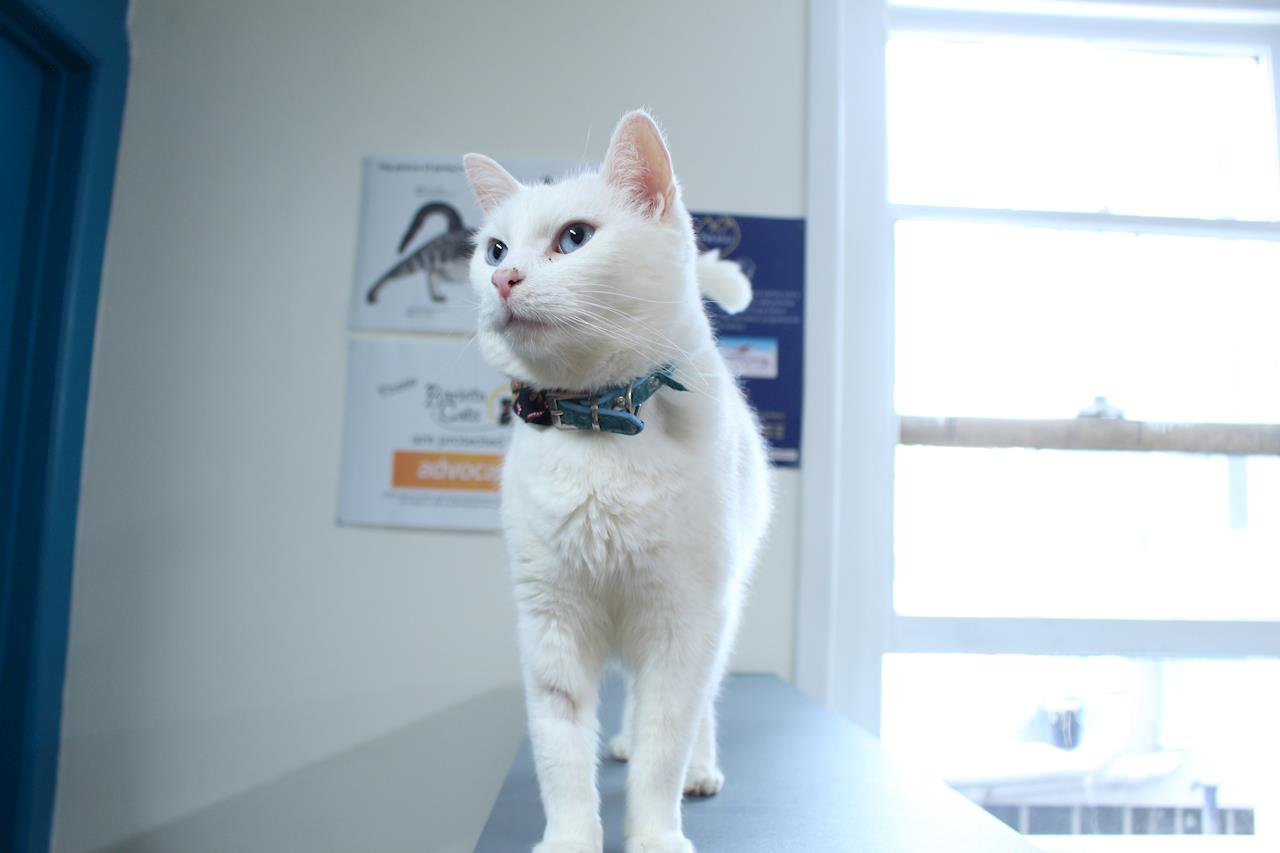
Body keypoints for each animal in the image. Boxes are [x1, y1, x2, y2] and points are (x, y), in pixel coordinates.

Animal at [462, 110, 772, 853]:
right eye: (493, 249)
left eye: (575, 238)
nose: (505, 278)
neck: (596, 422)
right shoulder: (550, 621)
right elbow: (560, 751)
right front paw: (571, 838)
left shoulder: (682, 618)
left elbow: (666, 743)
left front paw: (656, 833)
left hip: (717, 612)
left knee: (699, 707)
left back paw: (701, 769)